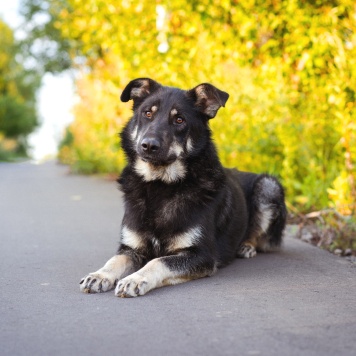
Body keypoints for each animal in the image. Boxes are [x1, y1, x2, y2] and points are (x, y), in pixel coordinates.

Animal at [79, 78, 288, 298]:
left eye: (179, 120)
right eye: (147, 113)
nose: (148, 145)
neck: (160, 185)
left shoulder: (200, 255)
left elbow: (158, 262)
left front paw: (135, 278)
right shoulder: (131, 248)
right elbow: (115, 260)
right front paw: (99, 275)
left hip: (268, 186)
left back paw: (247, 246)